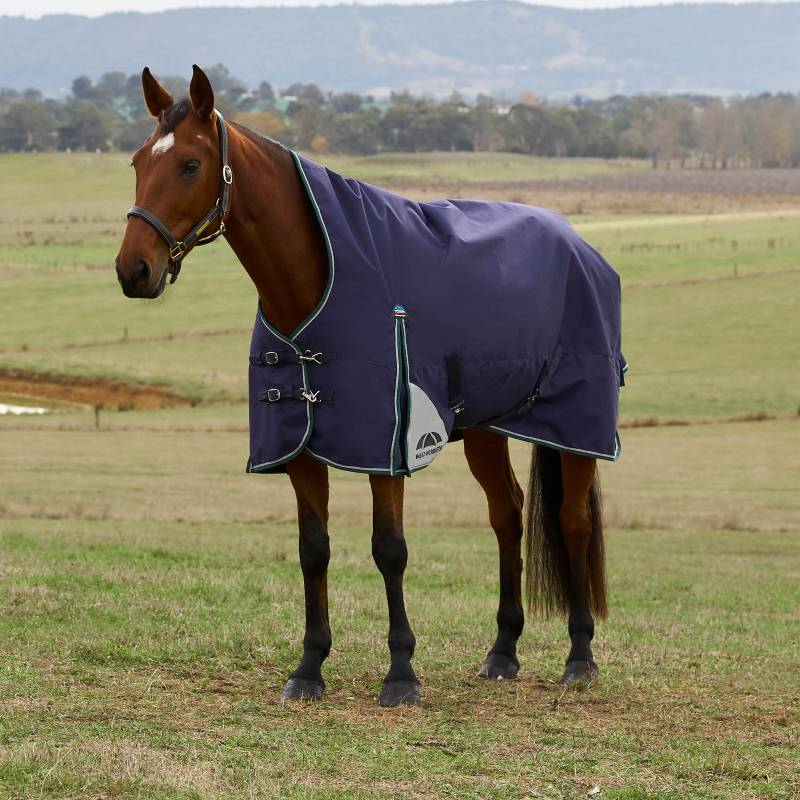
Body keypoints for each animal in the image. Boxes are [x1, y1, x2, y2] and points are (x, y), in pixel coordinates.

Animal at [115, 65, 621, 707]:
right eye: (137, 161)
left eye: (189, 164)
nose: (133, 270)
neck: (319, 281)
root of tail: (580, 245)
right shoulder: (301, 447)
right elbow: (313, 550)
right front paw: (309, 667)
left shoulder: (389, 446)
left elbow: (390, 550)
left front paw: (401, 674)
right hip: (486, 426)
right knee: (507, 513)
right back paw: (502, 651)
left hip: (576, 426)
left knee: (573, 521)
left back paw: (580, 657)